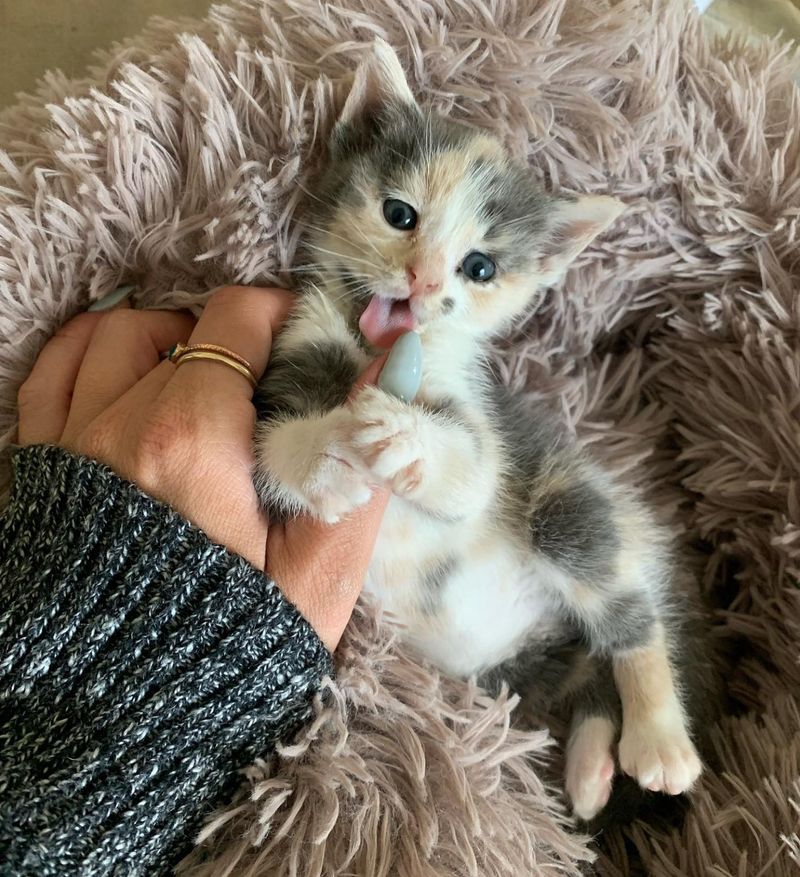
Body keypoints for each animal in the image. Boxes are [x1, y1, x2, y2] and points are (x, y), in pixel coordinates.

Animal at [253, 41, 704, 820]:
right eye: (398, 213)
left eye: (480, 266)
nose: (424, 282)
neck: (374, 350)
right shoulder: (296, 353)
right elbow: (276, 450)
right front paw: (329, 452)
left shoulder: (486, 426)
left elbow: (470, 473)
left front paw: (405, 435)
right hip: (514, 668)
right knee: (578, 673)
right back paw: (589, 767)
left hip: (567, 502)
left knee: (628, 610)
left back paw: (657, 738)